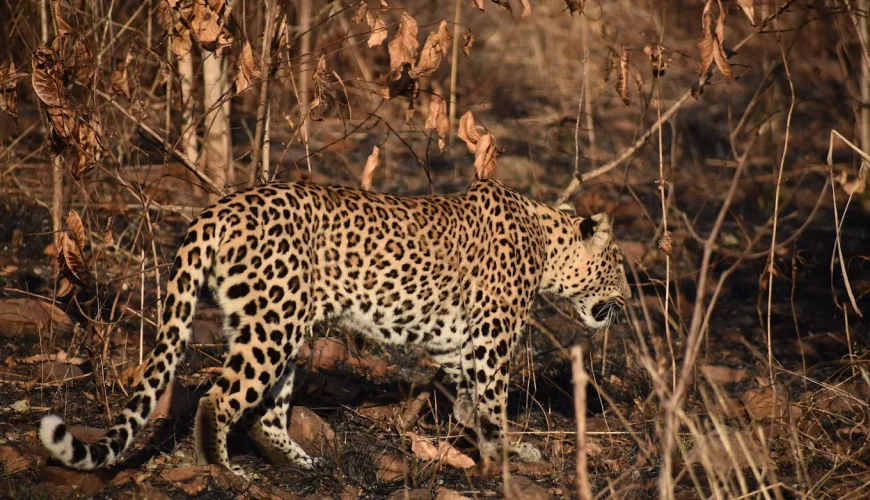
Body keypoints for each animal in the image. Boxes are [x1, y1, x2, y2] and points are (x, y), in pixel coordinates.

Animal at [39, 177, 630, 472]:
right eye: (618, 265)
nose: (627, 297)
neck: (546, 244)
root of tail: (218, 209)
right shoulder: (491, 336)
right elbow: (492, 399)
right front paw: (509, 449)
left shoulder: (458, 339)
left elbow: (468, 395)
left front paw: (479, 434)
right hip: (273, 323)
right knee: (220, 396)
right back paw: (221, 471)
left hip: (270, 322)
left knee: (266, 412)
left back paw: (303, 464)